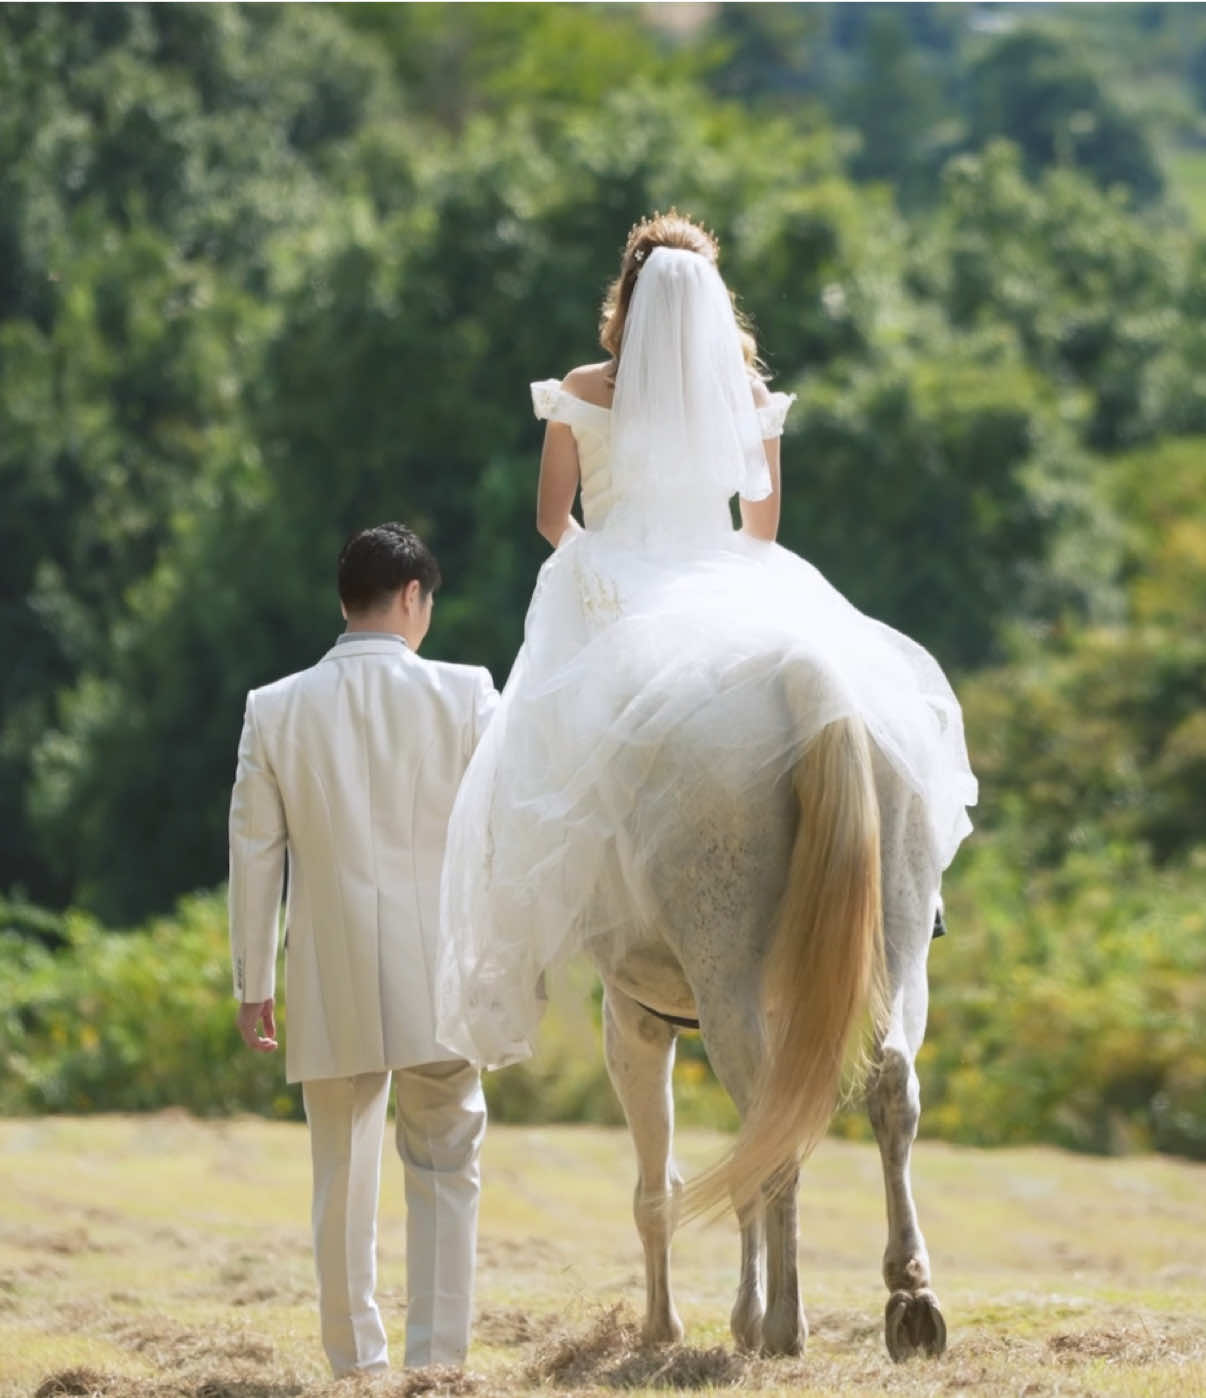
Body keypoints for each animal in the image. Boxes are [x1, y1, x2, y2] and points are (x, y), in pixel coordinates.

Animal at [583, 712, 949, 1362]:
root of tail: (826, 704)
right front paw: (741, 1318)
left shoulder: (634, 1020)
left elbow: (659, 1191)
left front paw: (663, 1328)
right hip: (899, 961)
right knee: (891, 1093)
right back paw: (909, 1296)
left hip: (721, 994)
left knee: (773, 1148)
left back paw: (784, 1323)